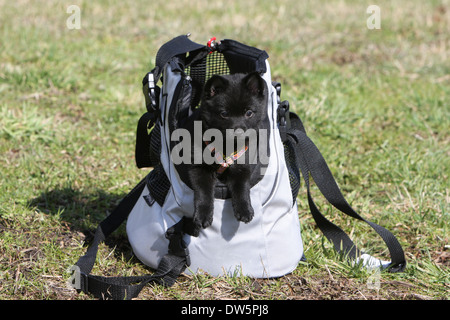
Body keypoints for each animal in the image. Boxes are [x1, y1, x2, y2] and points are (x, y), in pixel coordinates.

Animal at [185, 73, 268, 238]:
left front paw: (244, 209)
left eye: (249, 112)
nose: (238, 132)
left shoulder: (242, 166)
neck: (226, 146)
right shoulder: (198, 167)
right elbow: (203, 192)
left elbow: (241, 187)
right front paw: (202, 216)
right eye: (224, 114)